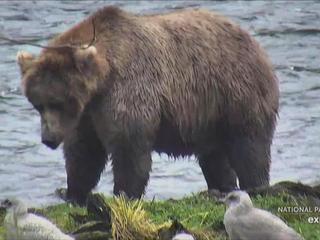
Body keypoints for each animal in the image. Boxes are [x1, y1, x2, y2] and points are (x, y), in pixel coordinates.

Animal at [16, 6, 278, 204]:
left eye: (58, 102)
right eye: (38, 104)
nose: (48, 138)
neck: (101, 82)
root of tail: (254, 42)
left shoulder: (128, 91)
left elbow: (130, 149)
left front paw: (124, 194)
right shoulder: (87, 115)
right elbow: (83, 151)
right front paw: (73, 193)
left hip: (237, 92)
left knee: (249, 146)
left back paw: (256, 186)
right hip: (210, 115)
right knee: (215, 156)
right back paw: (223, 187)